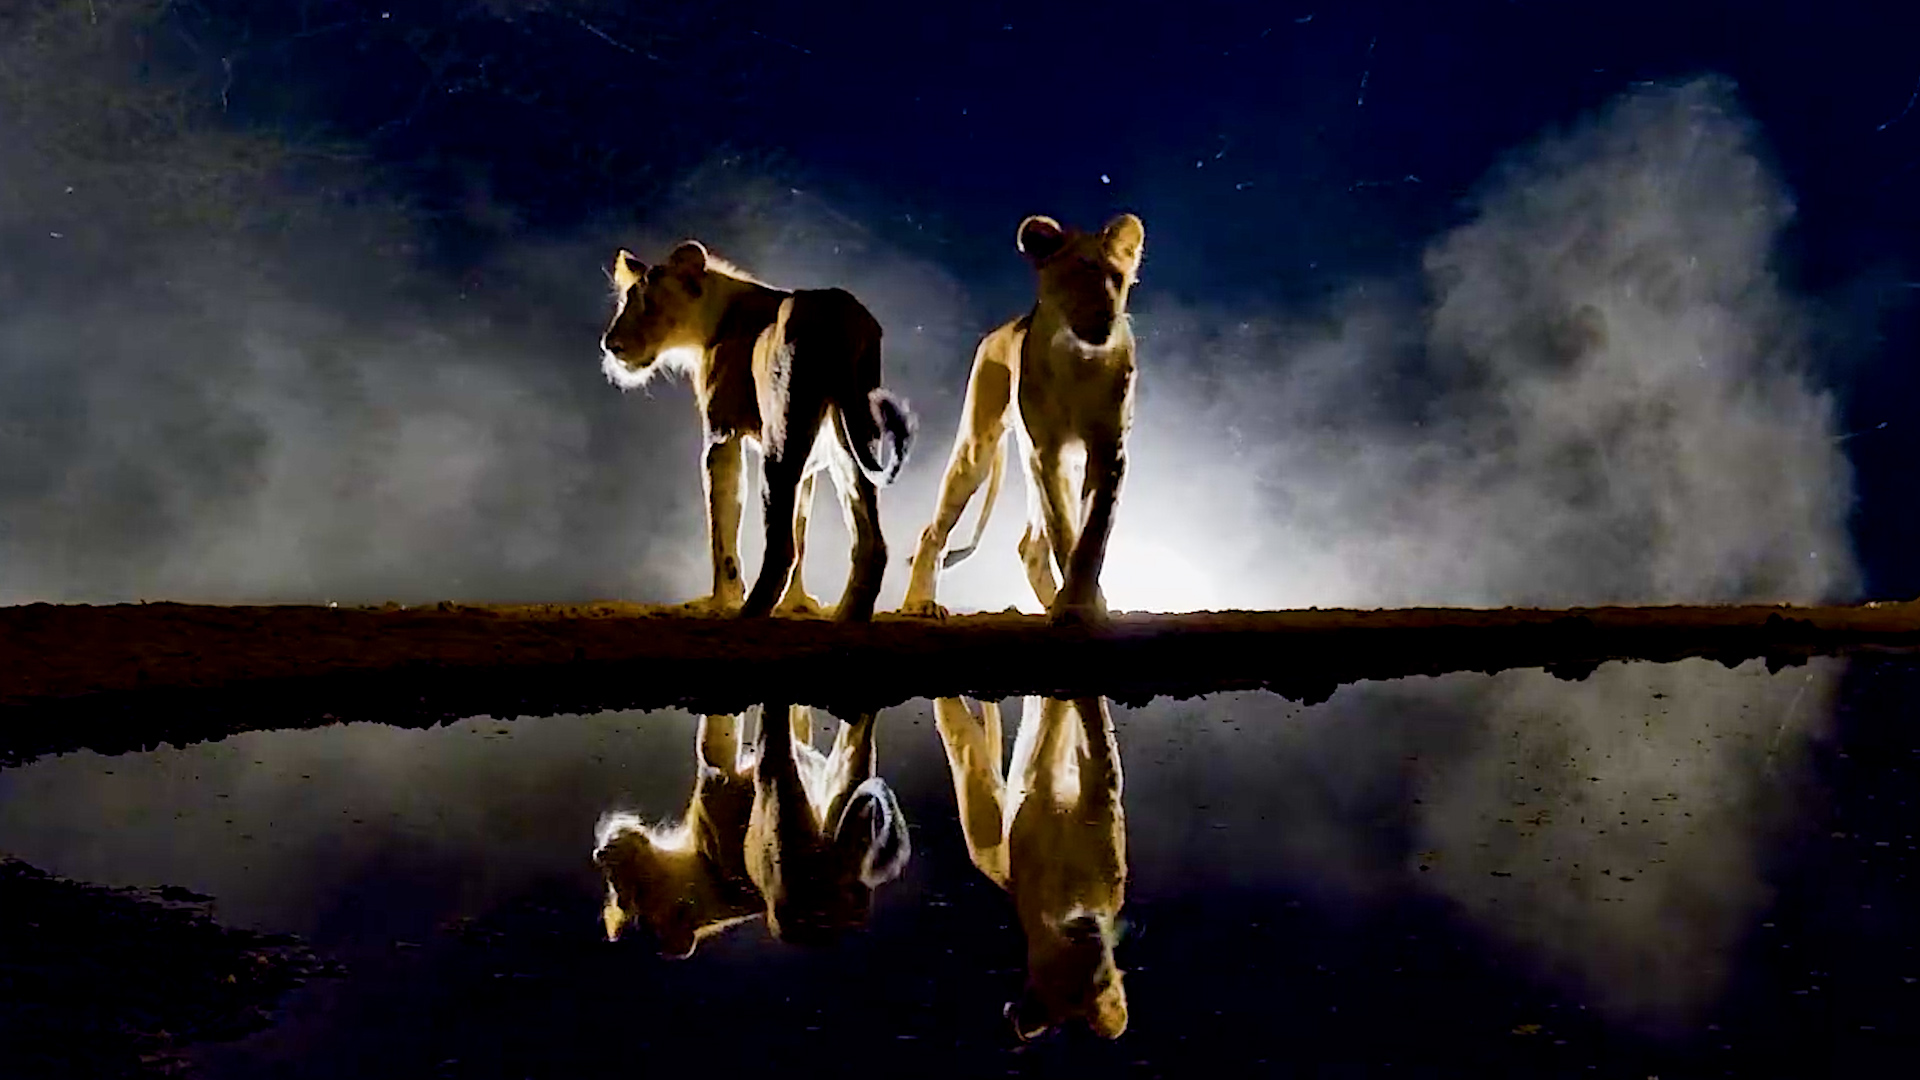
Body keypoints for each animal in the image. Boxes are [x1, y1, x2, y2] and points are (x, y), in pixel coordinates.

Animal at [593, 704, 910, 956]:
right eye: (621, 886)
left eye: (613, 881)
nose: (600, 853)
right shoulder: (714, 797)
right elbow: (713, 748)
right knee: (775, 757)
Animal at [600, 240, 917, 621]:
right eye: (624, 302)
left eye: (649, 303)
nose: (610, 345)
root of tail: (836, 310)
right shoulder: (811, 464)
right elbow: (801, 527)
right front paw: (796, 604)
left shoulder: (721, 436)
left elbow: (722, 526)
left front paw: (721, 601)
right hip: (852, 438)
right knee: (870, 541)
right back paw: (848, 616)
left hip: (781, 437)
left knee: (782, 546)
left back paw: (750, 612)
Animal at [900, 214, 1145, 625]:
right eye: (1074, 273)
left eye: (1116, 277)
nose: (1104, 318)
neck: (1079, 360)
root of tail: (1005, 327)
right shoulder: (1047, 452)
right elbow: (1065, 531)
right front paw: (1076, 604)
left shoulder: (1108, 451)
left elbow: (1092, 533)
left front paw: (1080, 603)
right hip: (977, 449)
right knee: (933, 532)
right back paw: (919, 603)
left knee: (1031, 545)